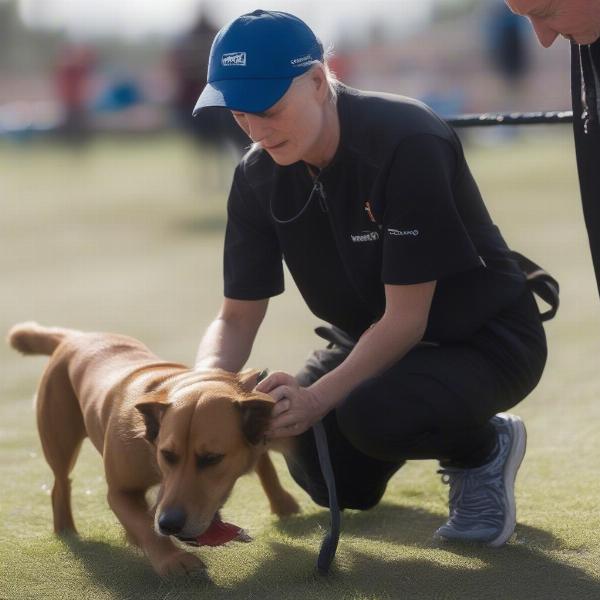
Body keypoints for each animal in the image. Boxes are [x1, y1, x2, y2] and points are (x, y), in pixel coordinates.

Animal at [8, 324, 298, 576]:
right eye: (167, 455)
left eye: (212, 459)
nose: (169, 524)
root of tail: (74, 337)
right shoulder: (120, 492)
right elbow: (143, 524)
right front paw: (173, 559)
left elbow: (264, 463)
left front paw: (282, 503)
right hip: (59, 441)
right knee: (60, 484)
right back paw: (67, 529)